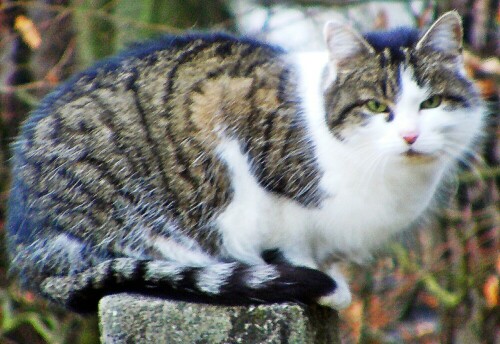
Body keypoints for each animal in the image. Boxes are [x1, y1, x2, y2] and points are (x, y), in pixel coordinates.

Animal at [6, 11, 484, 312]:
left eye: (431, 103)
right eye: (375, 106)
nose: (410, 135)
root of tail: (28, 254)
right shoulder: (236, 129)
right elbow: (286, 241)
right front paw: (320, 283)